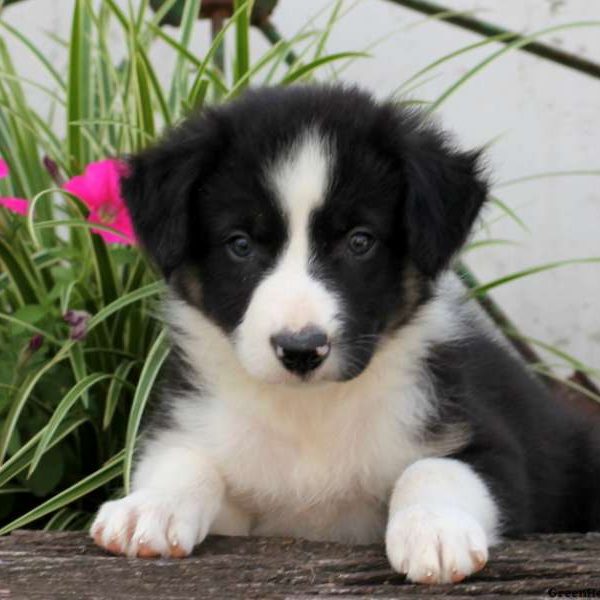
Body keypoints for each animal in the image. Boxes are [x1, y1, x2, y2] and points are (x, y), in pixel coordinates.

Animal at [90, 83, 600, 580]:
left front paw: (434, 532)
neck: (311, 412)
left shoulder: (489, 443)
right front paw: (147, 509)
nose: (300, 349)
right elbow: (184, 459)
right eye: (240, 244)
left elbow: (435, 468)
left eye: (360, 241)